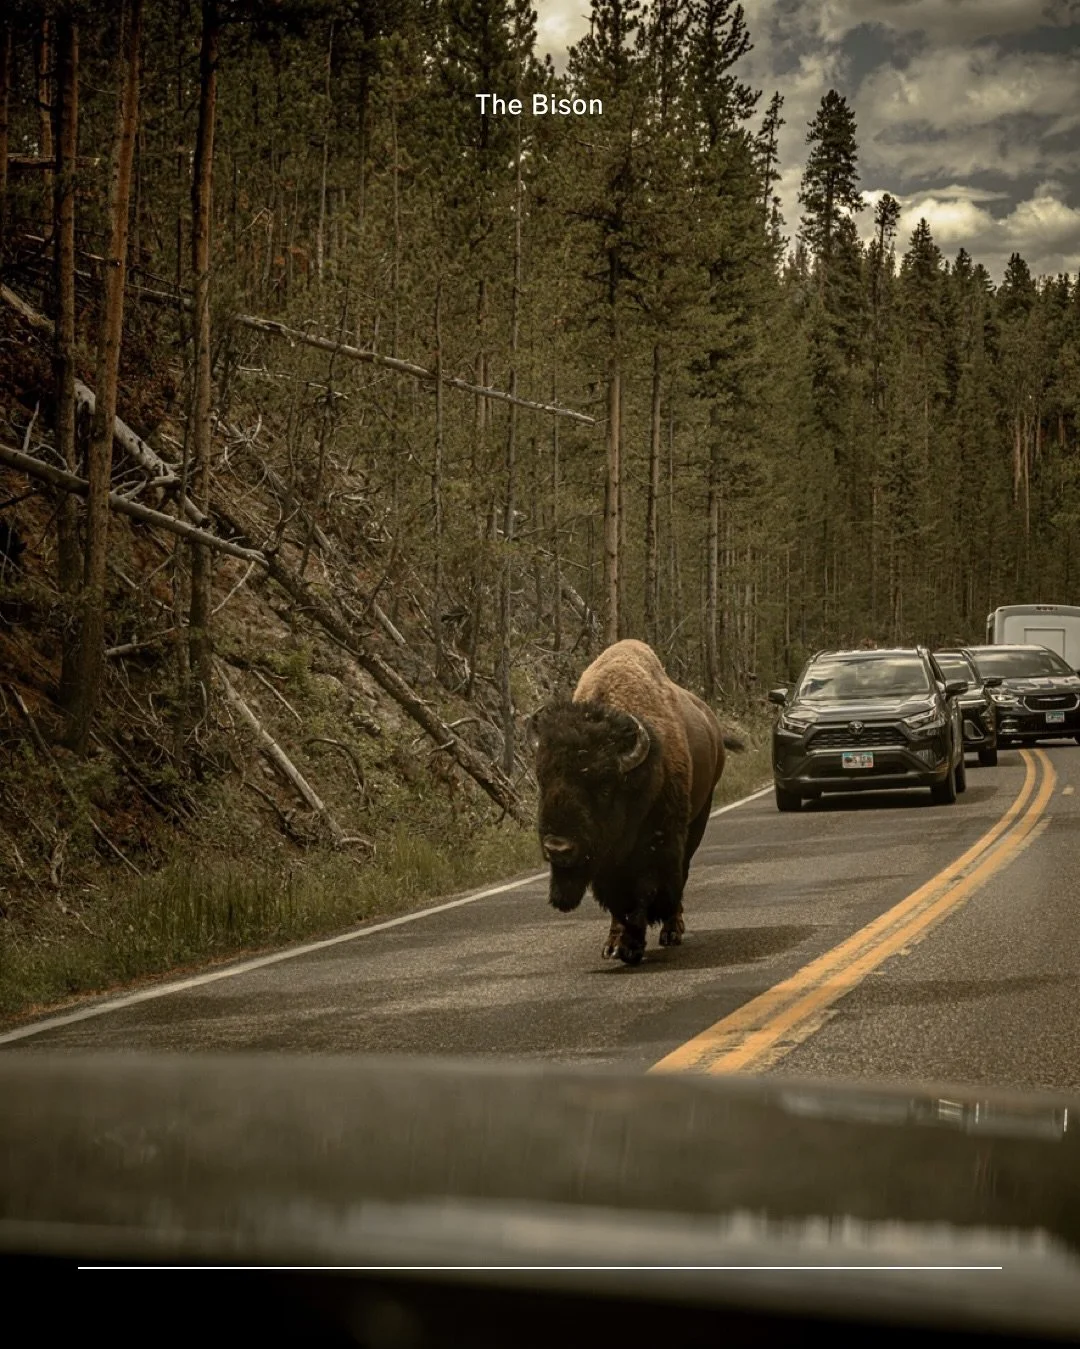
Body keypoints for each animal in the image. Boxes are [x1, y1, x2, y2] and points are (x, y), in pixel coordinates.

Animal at [527, 639, 743, 966]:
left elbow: (645, 890)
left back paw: (671, 931)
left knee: (682, 874)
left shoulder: (657, 844)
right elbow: (617, 902)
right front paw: (616, 944)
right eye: (543, 781)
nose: (558, 848)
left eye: (604, 786)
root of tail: (712, 724)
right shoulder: (605, 862)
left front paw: (632, 945)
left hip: (699, 818)